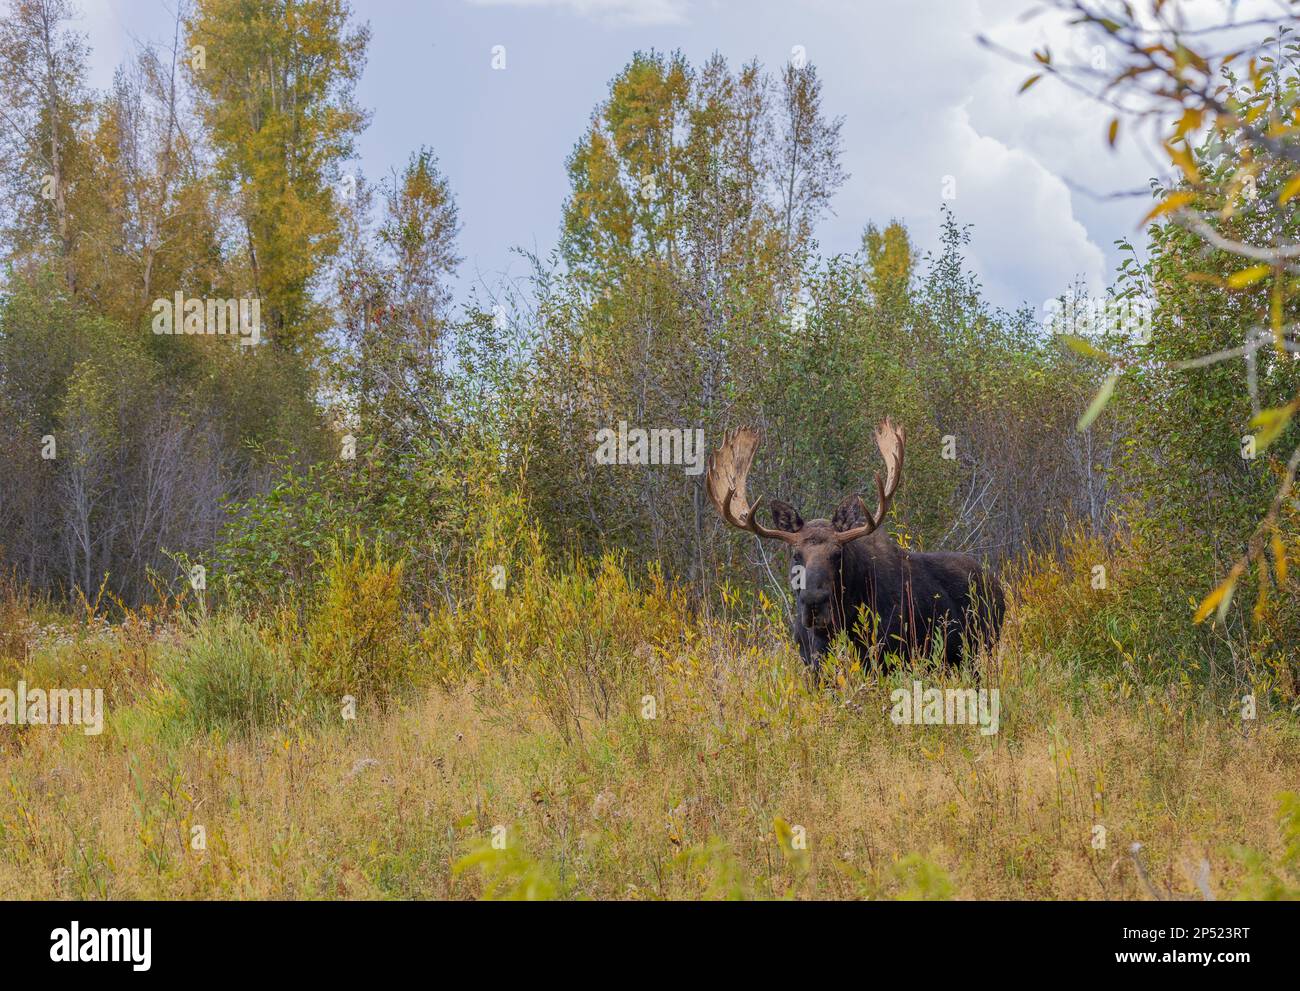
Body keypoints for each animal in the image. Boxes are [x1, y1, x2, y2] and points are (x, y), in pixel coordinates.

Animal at [706, 418, 1003, 674]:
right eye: (795, 555)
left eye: (837, 554)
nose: (814, 602)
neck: (834, 628)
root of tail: (995, 583)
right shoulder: (812, 666)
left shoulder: (889, 658)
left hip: (979, 653)